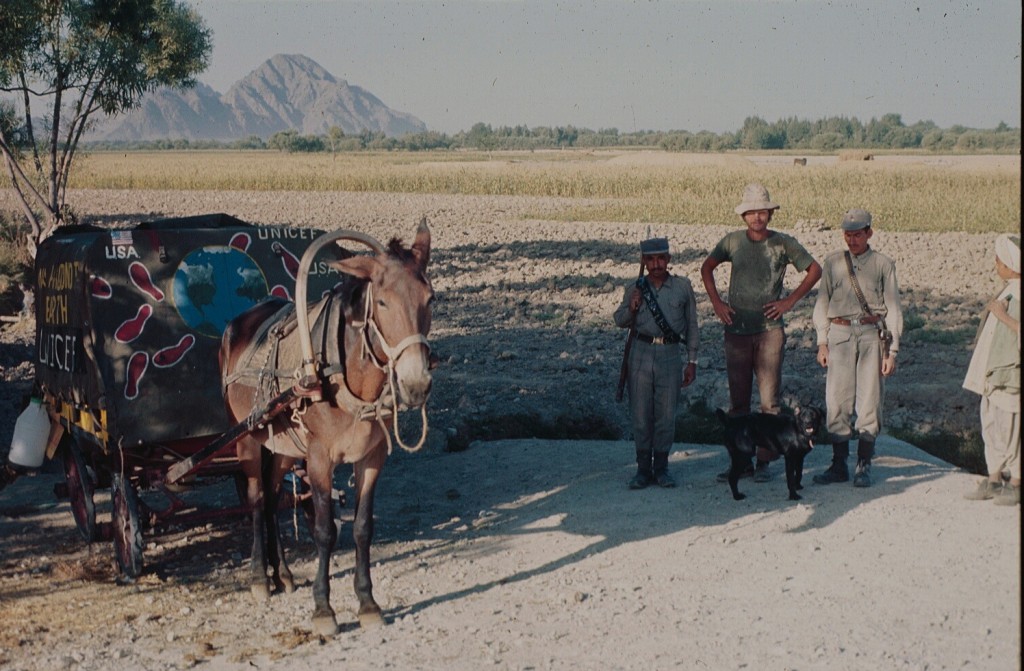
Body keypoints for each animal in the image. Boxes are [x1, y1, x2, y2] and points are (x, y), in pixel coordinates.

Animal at [219, 220, 432, 635]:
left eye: (430, 298)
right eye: (382, 302)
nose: (416, 383)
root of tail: (239, 323)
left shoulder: (372, 457)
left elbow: (363, 527)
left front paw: (367, 603)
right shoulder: (319, 458)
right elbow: (324, 530)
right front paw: (323, 610)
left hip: (284, 448)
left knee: (273, 498)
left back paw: (283, 573)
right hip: (249, 438)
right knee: (256, 500)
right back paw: (260, 577)